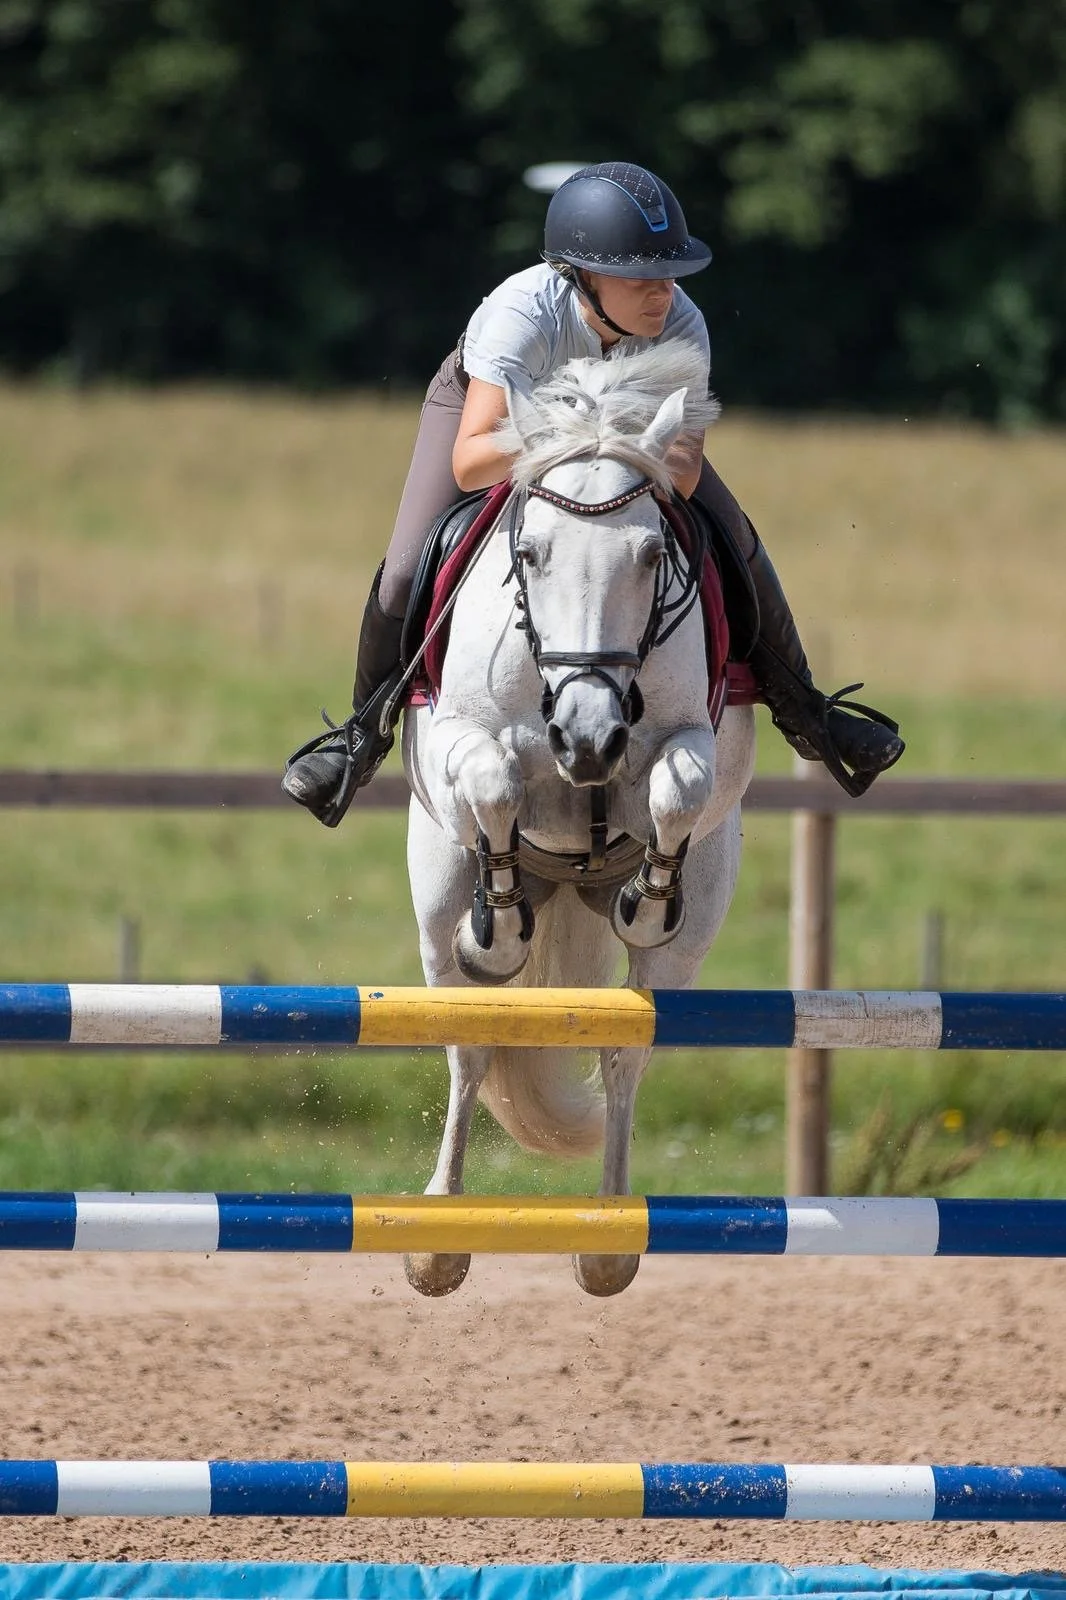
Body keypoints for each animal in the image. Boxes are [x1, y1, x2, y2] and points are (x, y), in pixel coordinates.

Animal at [401, 340, 757, 1298]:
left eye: (651, 555)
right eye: (530, 553)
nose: (589, 736)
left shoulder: (690, 742)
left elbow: (675, 788)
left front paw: (646, 895)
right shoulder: (464, 738)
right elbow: (493, 778)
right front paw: (498, 928)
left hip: (686, 944)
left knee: (625, 1050)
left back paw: (605, 1240)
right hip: (435, 899)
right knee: (469, 1046)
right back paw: (436, 1238)